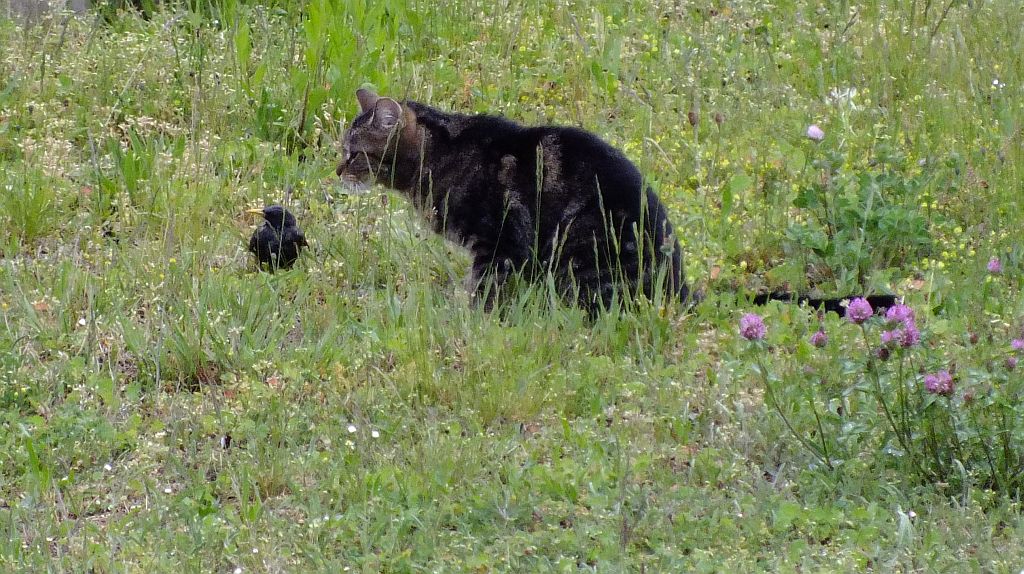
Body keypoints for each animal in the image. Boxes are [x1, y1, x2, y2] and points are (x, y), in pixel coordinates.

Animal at [337, 87, 897, 315]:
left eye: (353, 152)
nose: (335, 170)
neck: (442, 153)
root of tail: (681, 288)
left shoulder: (498, 244)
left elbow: (485, 292)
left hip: (584, 259)